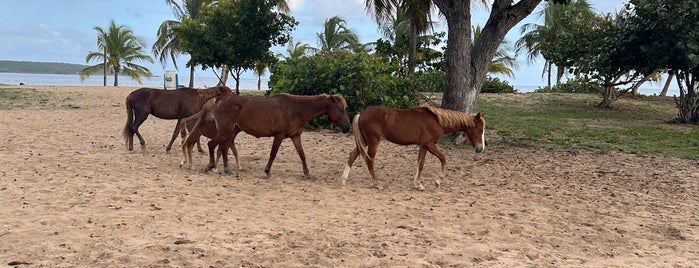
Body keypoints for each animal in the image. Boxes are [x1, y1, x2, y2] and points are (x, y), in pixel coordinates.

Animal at [205, 93, 352, 177]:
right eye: (340, 109)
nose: (347, 128)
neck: (296, 109)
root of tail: (219, 100)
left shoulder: (295, 136)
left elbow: (302, 155)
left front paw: (306, 173)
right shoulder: (279, 136)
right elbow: (273, 154)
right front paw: (266, 172)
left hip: (231, 131)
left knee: (223, 147)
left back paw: (227, 169)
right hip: (225, 131)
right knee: (212, 144)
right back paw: (210, 166)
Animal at [340, 105, 486, 191]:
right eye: (480, 129)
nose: (480, 149)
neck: (436, 121)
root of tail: (361, 114)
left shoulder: (423, 146)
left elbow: (420, 164)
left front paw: (418, 184)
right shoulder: (429, 144)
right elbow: (443, 158)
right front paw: (438, 181)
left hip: (364, 141)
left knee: (352, 155)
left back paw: (343, 179)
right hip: (373, 142)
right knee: (370, 161)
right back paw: (377, 183)